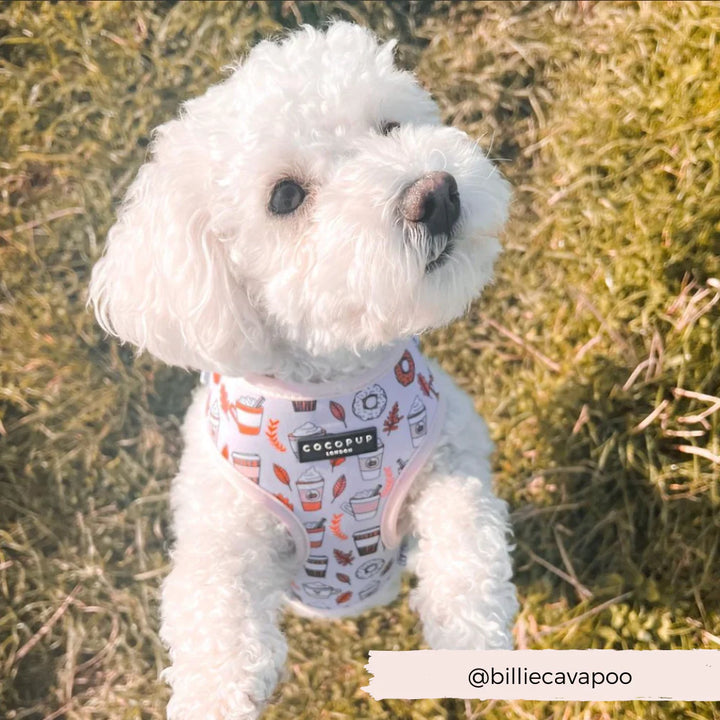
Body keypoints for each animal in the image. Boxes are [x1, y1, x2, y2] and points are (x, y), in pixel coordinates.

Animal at [88, 19, 516, 716]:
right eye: (285, 196)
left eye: (389, 128)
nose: (436, 195)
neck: (332, 396)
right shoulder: (222, 525)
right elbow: (211, 609)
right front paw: (213, 695)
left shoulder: (451, 455)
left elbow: (465, 534)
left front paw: (470, 640)